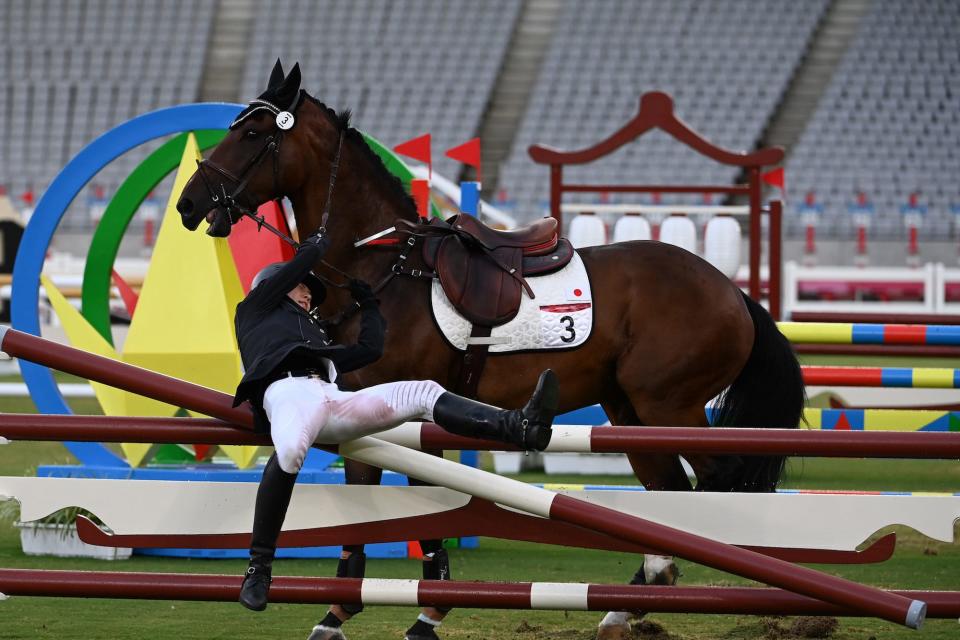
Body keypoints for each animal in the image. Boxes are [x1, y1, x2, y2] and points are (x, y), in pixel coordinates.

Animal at [174, 61, 804, 640]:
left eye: (253, 134)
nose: (188, 204)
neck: (383, 266)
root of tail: (732, 291)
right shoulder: (360, 414)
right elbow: (368, 504)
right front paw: (341, 609)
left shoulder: (407, 413)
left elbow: (419, 504)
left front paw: (427, 609)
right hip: (631, 413)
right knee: (670, 498)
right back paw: (629, 605)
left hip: (669, 407)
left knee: (718, 485)